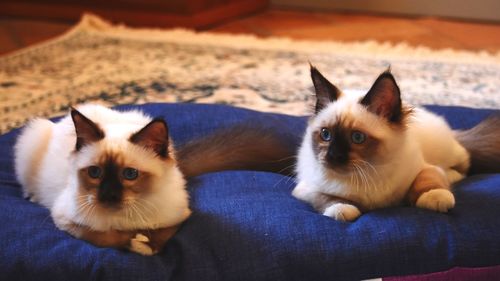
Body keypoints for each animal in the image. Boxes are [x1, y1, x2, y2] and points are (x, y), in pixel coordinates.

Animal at [14, 102, 296, 254]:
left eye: (130, 174)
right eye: (95, 173)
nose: (108, 196)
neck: (128, 219)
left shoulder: (179, 217)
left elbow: (161, 238)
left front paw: (143, 244)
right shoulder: (67, 220)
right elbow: (107, 238)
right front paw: (131, 242)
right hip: (33, 136)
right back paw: (31, 196)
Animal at [292, 65, 500, 221]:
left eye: (357, 137)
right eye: (326, 135)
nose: (334, 155)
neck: (368, 172)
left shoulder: (423, 168)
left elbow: (428, 179)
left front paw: (436, 197)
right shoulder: (306, 188)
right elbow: (325, 197)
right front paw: (342, 209)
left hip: (446, 151)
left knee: (463, 163)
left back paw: (451, 176)